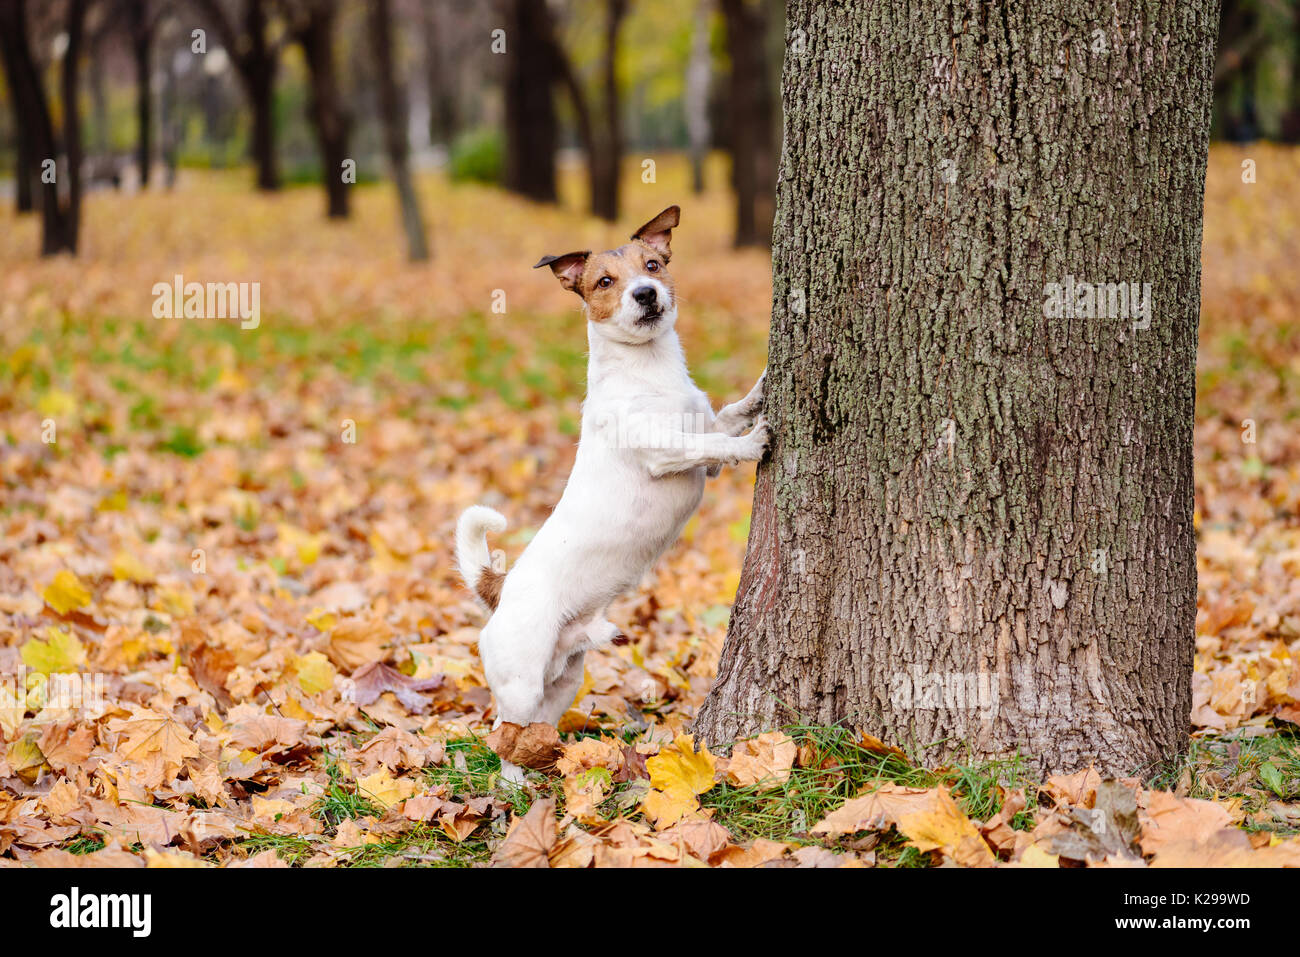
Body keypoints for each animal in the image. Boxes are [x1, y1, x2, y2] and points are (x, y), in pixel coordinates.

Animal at [457, 205, 764, 780]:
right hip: (522, 680)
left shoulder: (706, 445)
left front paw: (762, 393)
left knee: (535, 728)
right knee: (502, 736)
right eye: (605, 281)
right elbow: (713, 441)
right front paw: (755, 442)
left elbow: (726, 417)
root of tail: (500, 589)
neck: (650, 370)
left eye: (653, 265)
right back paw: (514, 785)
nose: (645, 293)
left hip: (564, 679)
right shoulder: (666, 451)